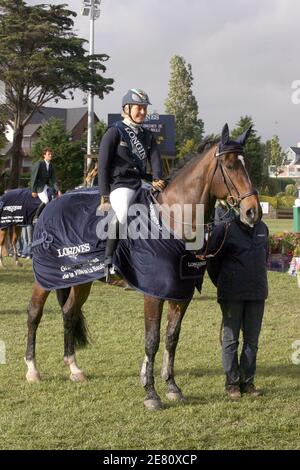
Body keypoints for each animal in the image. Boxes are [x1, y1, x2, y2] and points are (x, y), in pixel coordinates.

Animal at [24, 124, 262, 408]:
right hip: (45, 279)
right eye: (229, 165)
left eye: (249, 164)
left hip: (80, 280)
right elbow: (152, 340)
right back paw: (32, 370)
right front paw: (151, 393)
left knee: (70, 313)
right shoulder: (154, 293)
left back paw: (74, 369)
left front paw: (172, 387)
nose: (252, 212)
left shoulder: (180, 295)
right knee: (34, 314)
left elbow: (172, 338)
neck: (172, 220)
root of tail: (52, 204)